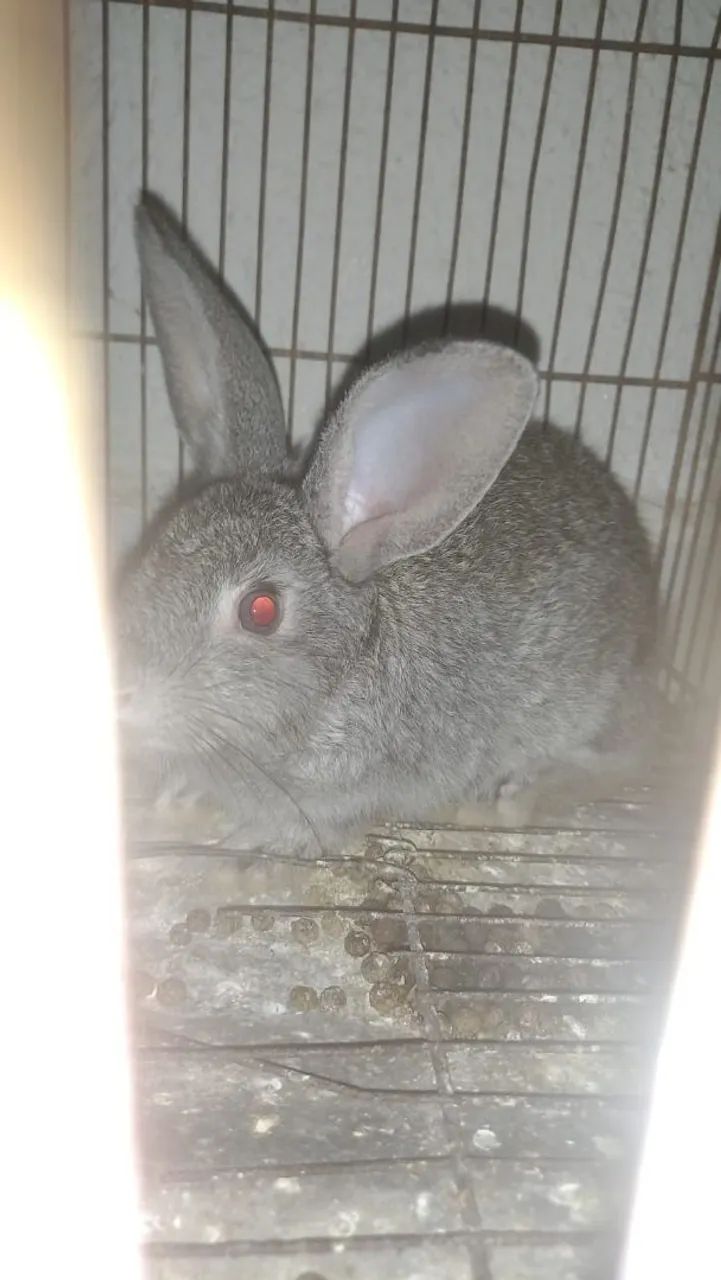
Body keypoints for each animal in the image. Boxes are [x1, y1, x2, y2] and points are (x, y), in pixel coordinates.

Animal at [117, 194, 658, 856]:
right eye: (152, 547)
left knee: (620, 761)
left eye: (260, 611)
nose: (120, 688)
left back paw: (508, 799)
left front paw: (254, 838)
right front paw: (181, 798)